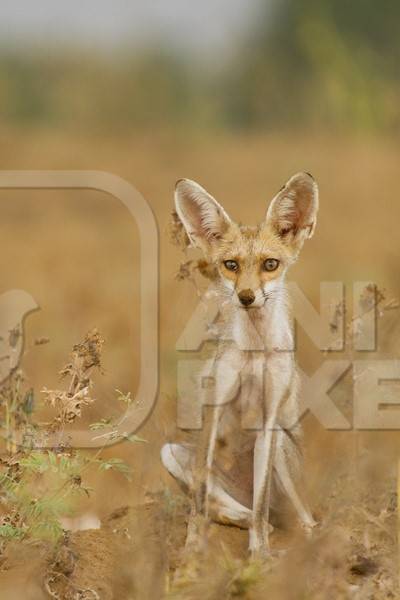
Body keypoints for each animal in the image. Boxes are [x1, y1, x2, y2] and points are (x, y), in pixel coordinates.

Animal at [161, 173, 318, 556]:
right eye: (230, 265)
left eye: (270, 264)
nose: (247, 297)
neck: (255, 353)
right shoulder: (215, 408)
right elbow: (200, 496)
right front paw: (192, 550)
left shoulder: (269, 418)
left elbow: (260, 505)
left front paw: (259, 555)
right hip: (171, 453)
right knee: (238, 511)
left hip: (281, 452)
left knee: (295, 519)